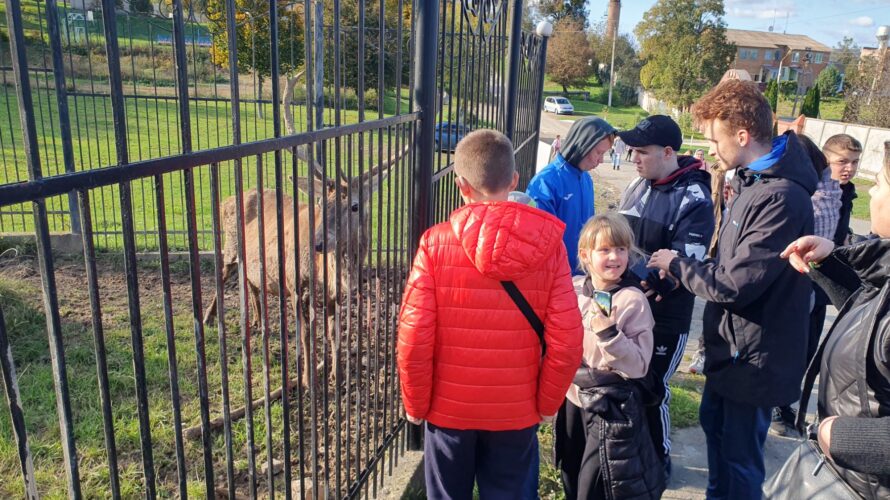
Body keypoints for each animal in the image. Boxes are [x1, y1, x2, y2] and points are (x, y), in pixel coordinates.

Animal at [203, 143, 408, 388]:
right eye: (320, 203)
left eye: (355, 206)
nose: (317, 242)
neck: (327, 272)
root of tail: (226, 199)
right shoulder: (295, 285)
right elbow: (306, 335)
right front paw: (309, 380)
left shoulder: (334, 294)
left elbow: (334, 332)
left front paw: (337, 375)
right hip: (230, 247)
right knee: (222, 277)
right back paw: (208, 318)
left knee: (251, 282)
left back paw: (258, 321)